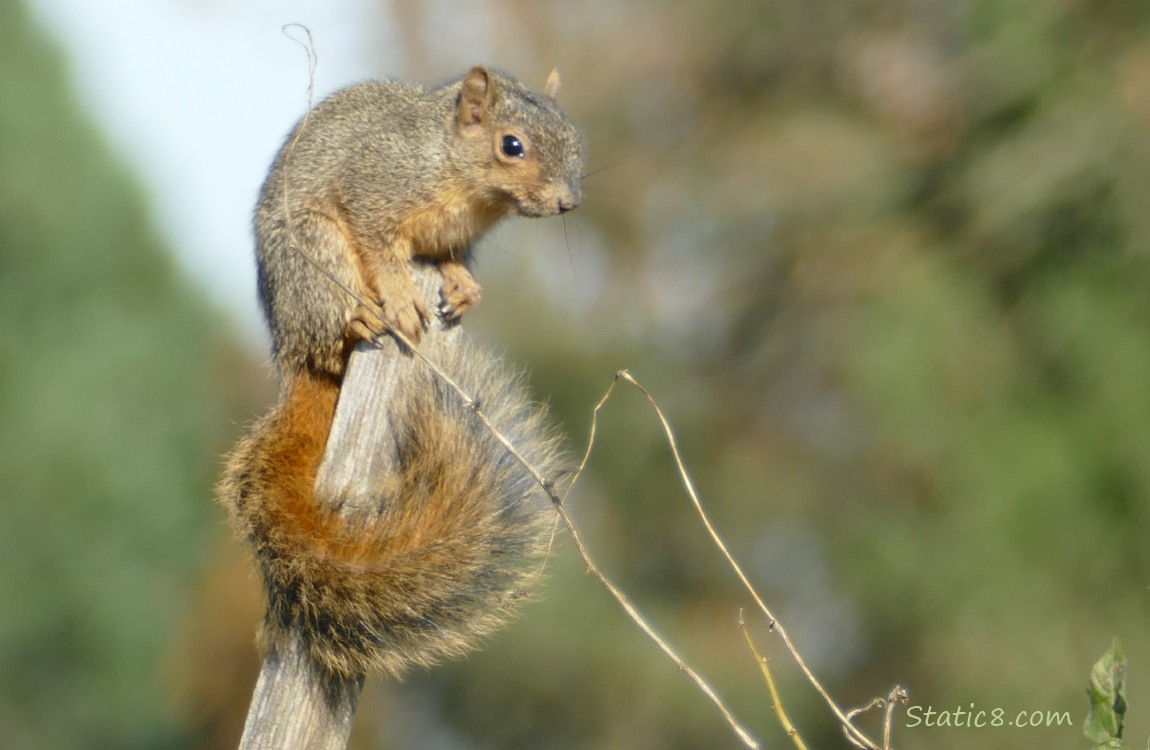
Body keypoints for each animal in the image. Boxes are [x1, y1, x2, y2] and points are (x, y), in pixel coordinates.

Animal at [217, 66, 585, 679]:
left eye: (578, 140)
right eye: (511, 146)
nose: (567, 202)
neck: (462, 183)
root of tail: (290, 355)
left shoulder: (451, 238)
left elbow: (447, 259)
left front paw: (463, 287)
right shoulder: (374, 189)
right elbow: (383, 249)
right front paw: (401, 296)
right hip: (314, 258)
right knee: (335, 317)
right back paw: (362, 318)